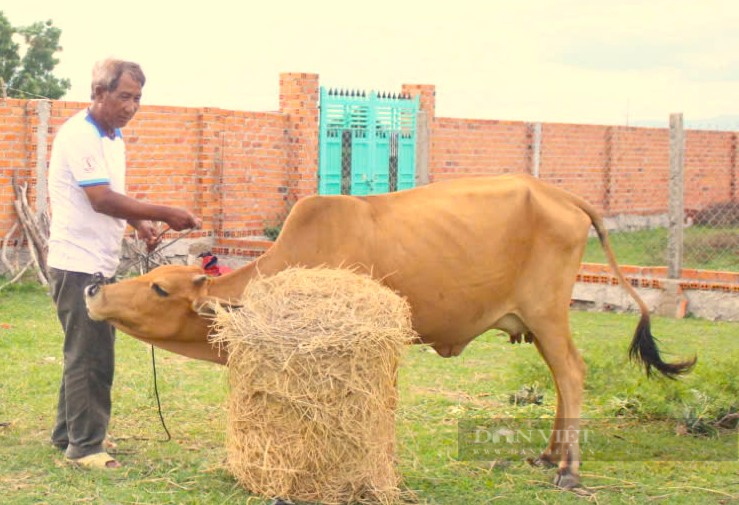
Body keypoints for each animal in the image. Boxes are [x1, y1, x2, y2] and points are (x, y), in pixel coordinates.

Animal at [84, 174, 696, 488]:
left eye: (160, 289)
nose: (94, 291)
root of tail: (560, 194)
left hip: (548, 313)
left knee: (571, 372)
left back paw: (568, 469)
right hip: (536, 320)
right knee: (562, 379)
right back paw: (548, 455)